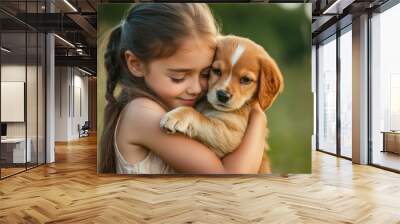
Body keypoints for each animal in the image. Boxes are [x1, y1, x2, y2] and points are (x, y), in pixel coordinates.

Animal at [160, 35, 284, 173]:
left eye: (246, 80)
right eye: (216, 71)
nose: (223, 96)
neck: (208, 105)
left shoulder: (232, 134)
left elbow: (199, 116)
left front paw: (176, 116)